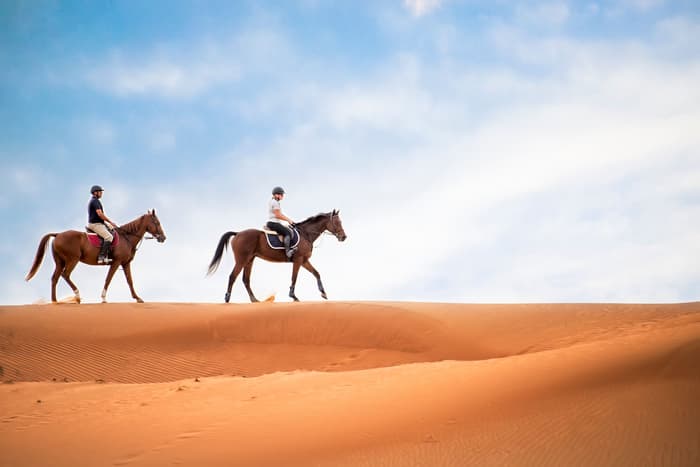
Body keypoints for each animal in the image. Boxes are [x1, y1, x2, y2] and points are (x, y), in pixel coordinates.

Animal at [25, 210, 166, 304]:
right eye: (156, 222)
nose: (163, 238)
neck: (126, 237)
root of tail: (57, 234)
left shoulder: (125, 263)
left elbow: (130, 281)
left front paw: (137, 298)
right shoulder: (116, 262)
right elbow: (108, 279)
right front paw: (103, 298)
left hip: (60, 262)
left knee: (55, 278)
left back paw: (55, 302)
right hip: (72, 260)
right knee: (65, 275)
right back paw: (77, 296)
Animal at [207, 210, 347, 302]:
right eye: (337, 222)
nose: (344, 237)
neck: (306, 234)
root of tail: (237, 233)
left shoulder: (304, 260)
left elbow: (316, 273)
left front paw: (323, 293)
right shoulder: (298, 260)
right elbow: (294, 277)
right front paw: (293, 296)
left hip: (249, 260)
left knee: (246, 279)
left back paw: (254, 300)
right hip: (241, 260)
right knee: (232, 277)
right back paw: (227, 298)